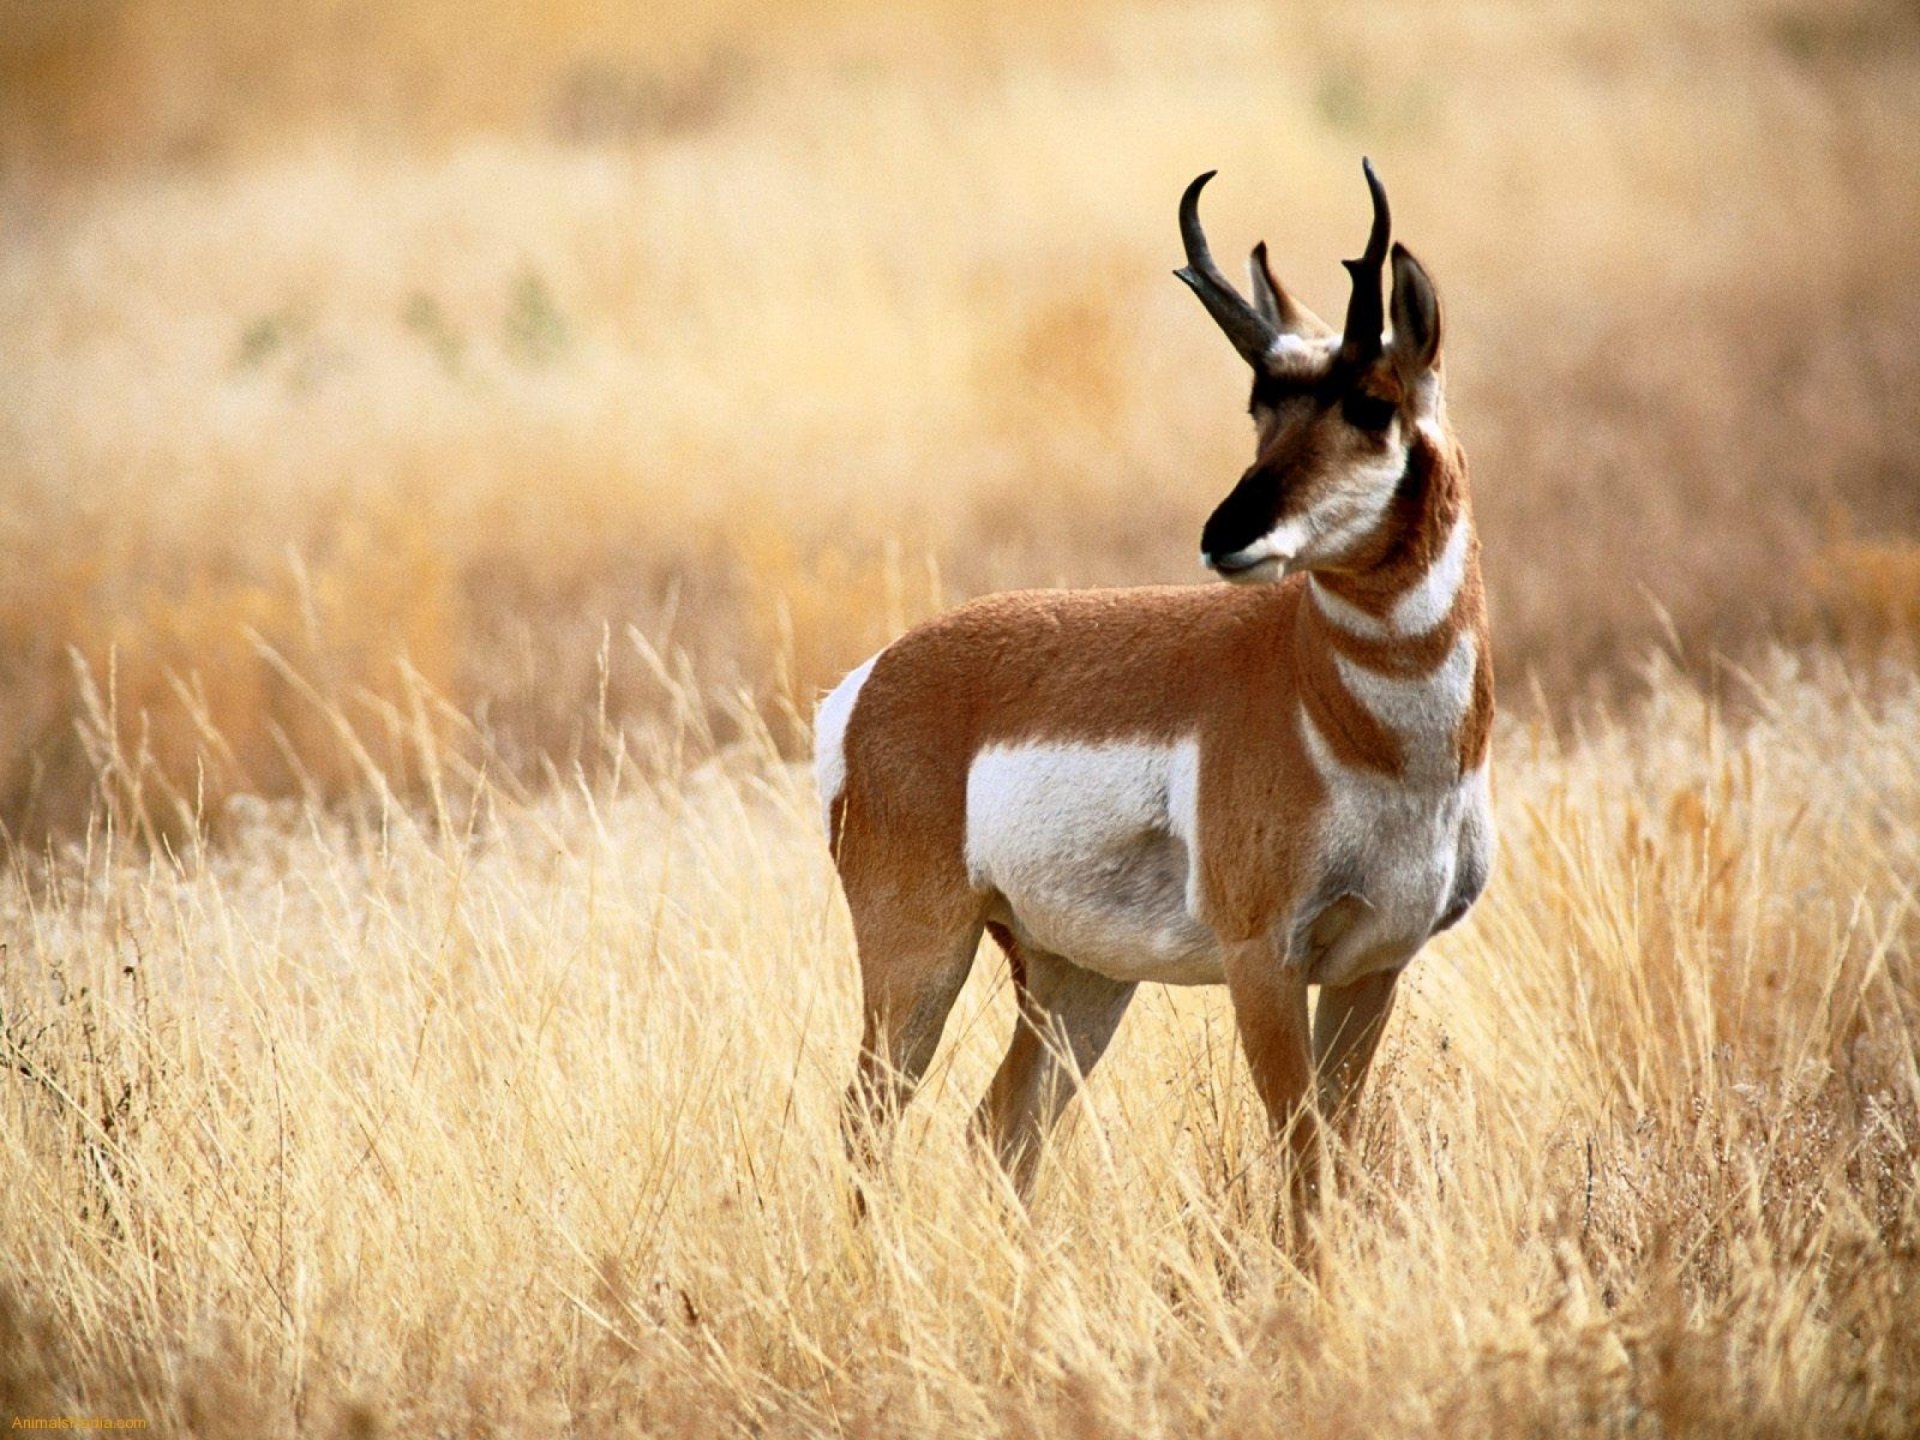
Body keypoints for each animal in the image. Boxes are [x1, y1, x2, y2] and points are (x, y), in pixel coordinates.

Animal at [816, 161, 1493, 1206]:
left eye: (1372, 405)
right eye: (1259, 406)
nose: (1226, 534)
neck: (1349, 720)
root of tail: (873, 681)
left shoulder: (1372, 966)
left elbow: (1335, 1155)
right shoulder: (1264, 963)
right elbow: (1299, 1156)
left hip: (1076, 975)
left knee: (1001, 1127)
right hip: (921, 956)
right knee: (867, 1125)